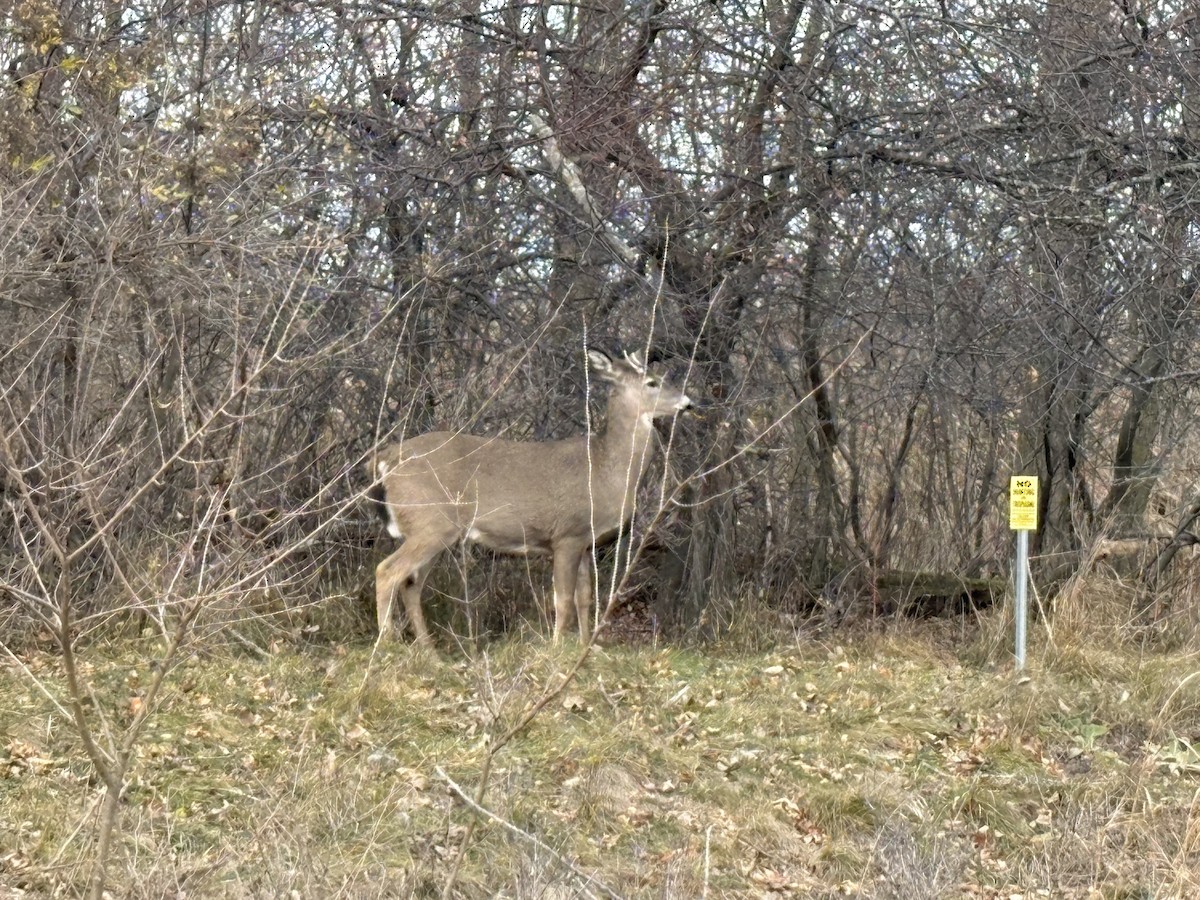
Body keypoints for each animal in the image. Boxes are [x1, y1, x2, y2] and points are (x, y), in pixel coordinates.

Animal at [370, 348, 693, 646]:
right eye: (652, 382)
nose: (688, 402)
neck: (604, 470)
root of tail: (386, 460)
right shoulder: (567, 535)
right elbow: (562, 601)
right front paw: (556, 651)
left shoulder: (585, 542)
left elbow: (584, 599)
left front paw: (586, 648)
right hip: (431, 523)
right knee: (387, 571)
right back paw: (387, 645)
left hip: (434, 530)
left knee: (410, 585)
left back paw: (429, 653)